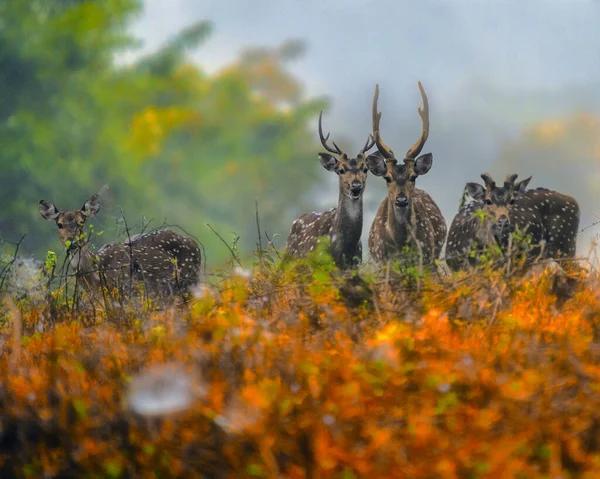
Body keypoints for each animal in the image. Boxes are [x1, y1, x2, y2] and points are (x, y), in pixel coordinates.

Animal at [40, 194, 204, 300]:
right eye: (59, 224)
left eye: (82, 221)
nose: (72, 242)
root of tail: (195, 243)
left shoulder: (129, 291)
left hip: (189, 282)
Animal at [366, 83, 446, 266]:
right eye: (387, 177)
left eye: (413, 176)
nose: (401, 200)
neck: (400, 243)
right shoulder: (381, 261)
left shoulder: (426, 257)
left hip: (435, 254)